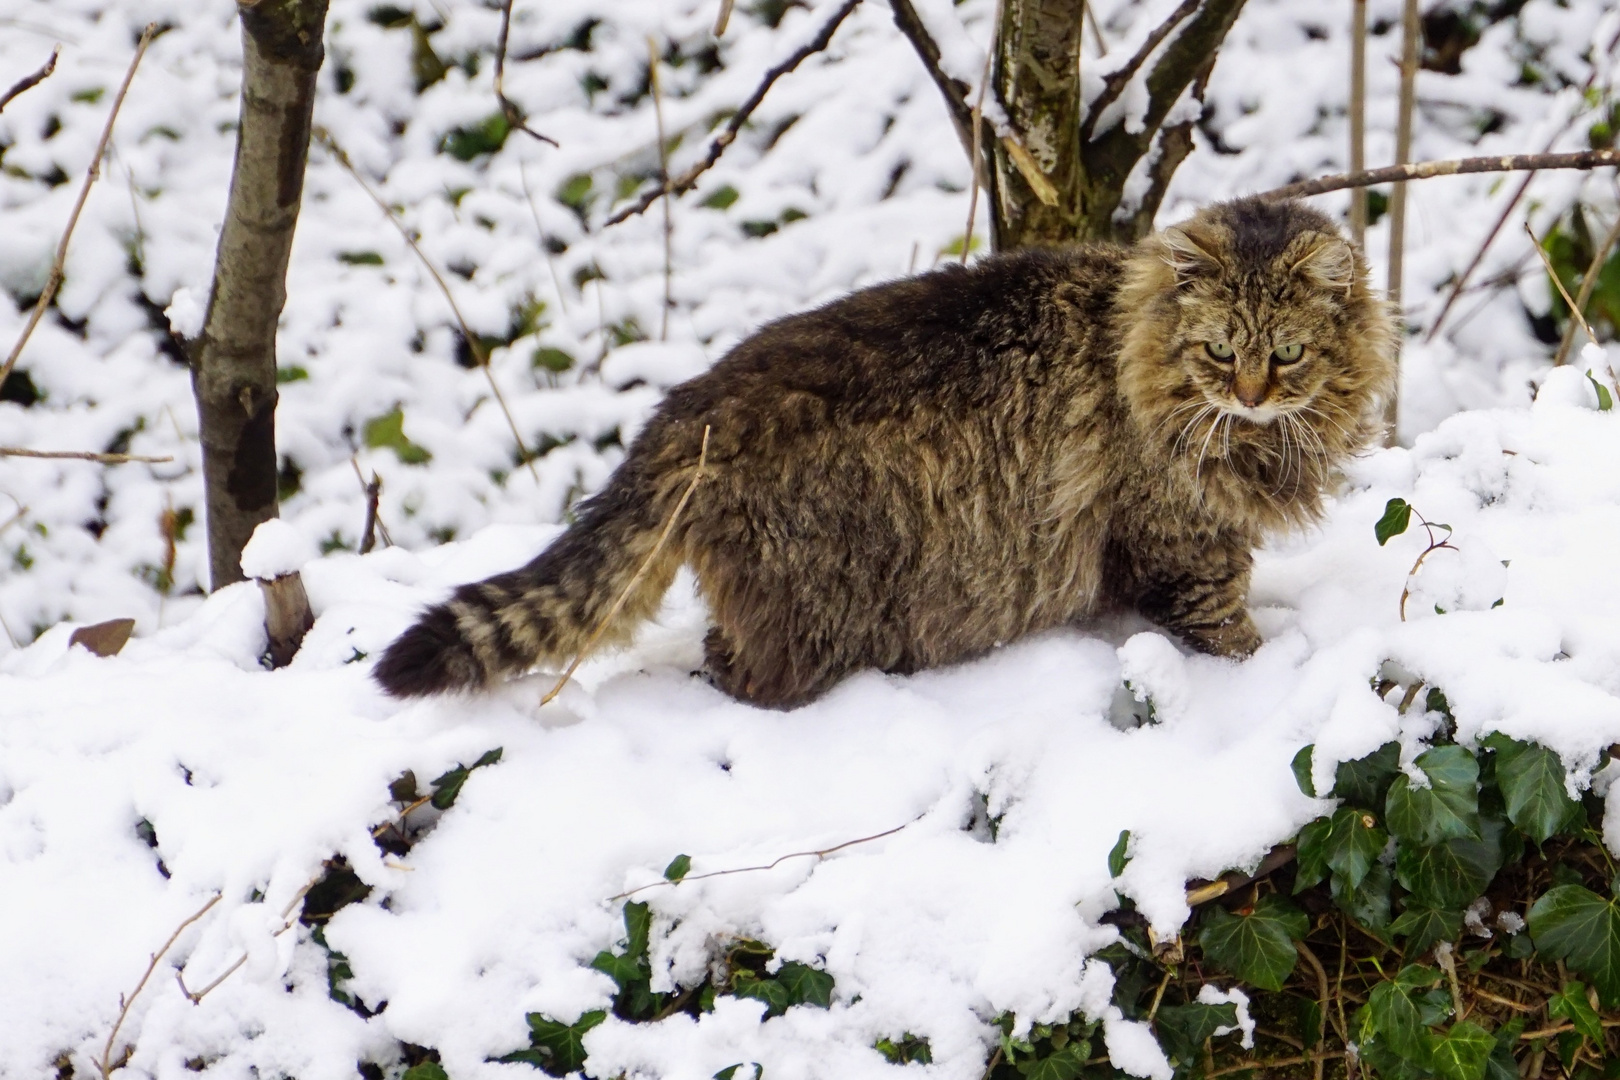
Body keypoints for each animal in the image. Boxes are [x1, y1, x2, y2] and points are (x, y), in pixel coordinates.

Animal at [372, 199, 1399, 712]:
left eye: (1287, 352)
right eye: (1221, 349)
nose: (1251, 394)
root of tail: (686, 410)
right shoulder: (1182, 542)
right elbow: (1224, 627)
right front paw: (1267, 667)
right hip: (818, 598)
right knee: (742, 666)